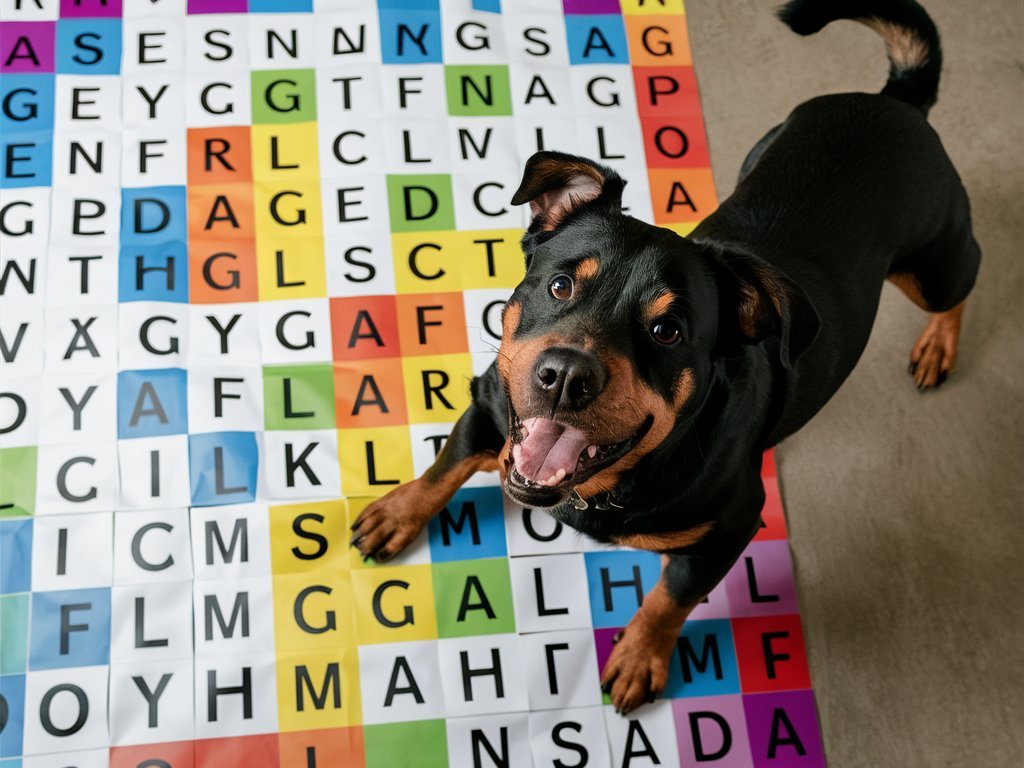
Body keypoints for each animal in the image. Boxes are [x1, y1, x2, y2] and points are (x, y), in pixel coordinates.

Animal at [350, 0, 974, 712]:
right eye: (560, 285)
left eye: (668, 331)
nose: (565, 376)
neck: (604, 483)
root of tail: (897, 100)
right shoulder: (491, 402)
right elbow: (445, 466)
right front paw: (397, 514)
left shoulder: (730, 528)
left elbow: (669, 598)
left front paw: (639, 658)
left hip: (935, 263)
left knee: (963, 282)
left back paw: (938, 345)